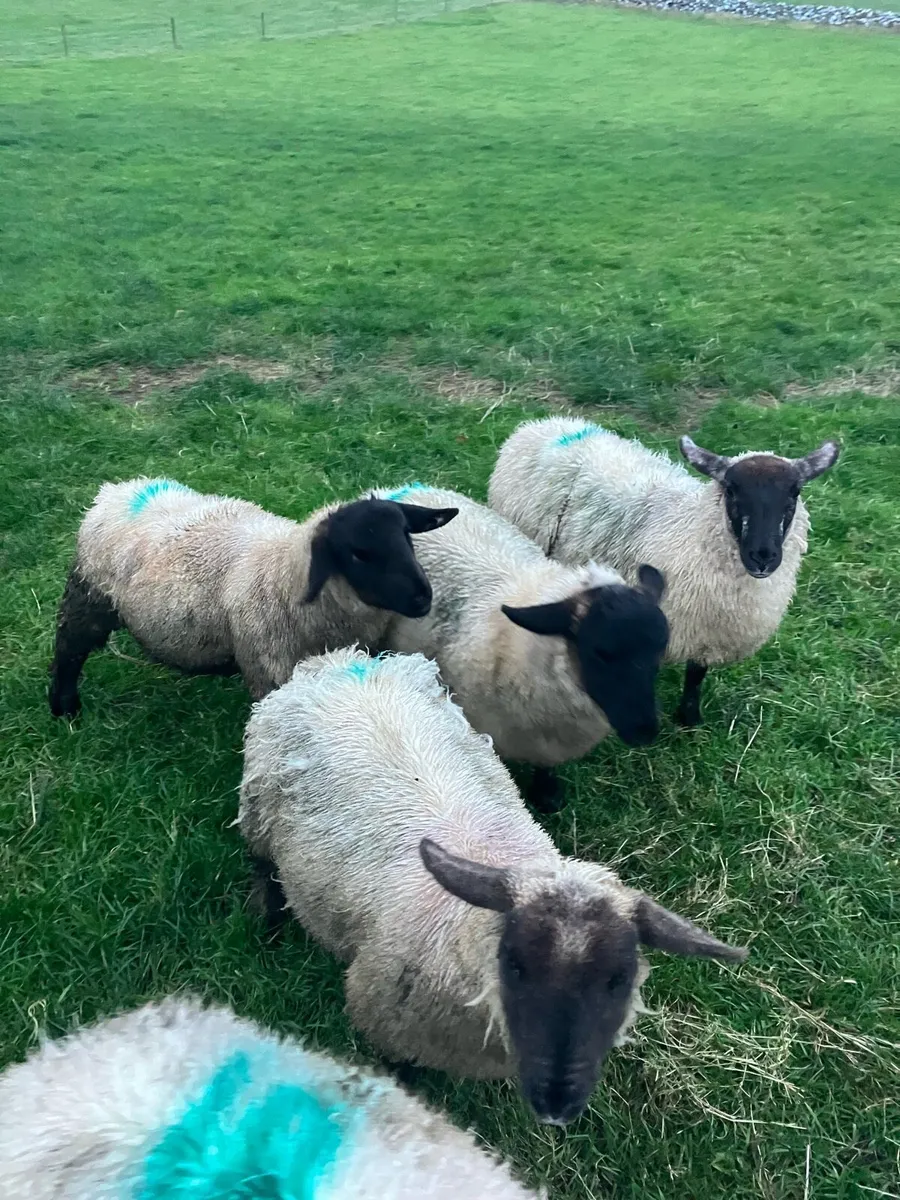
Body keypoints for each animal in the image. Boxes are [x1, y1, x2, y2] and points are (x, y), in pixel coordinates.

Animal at [47, 477, 457, 716]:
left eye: (406, 534)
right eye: (358, 553)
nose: (422, 597)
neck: (285, 571)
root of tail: (119, 489)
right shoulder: (269, 671)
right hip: (89, 596)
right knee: (69, 649)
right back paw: (64, 708)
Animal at [239, 647, 748, 1126]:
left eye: (618, 979)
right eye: (515, 964)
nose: (557, 1104)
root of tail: (342, 661)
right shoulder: (387, 1025)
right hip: (258, 810)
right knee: (264, 866)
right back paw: (269, 922)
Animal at [488, 419, 840, 727]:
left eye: (794, 492)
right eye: (731, 490)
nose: (763, 556)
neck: (689, 528)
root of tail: (544, 424)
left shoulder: (706, 630)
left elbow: (696, 674)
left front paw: (690, 720)